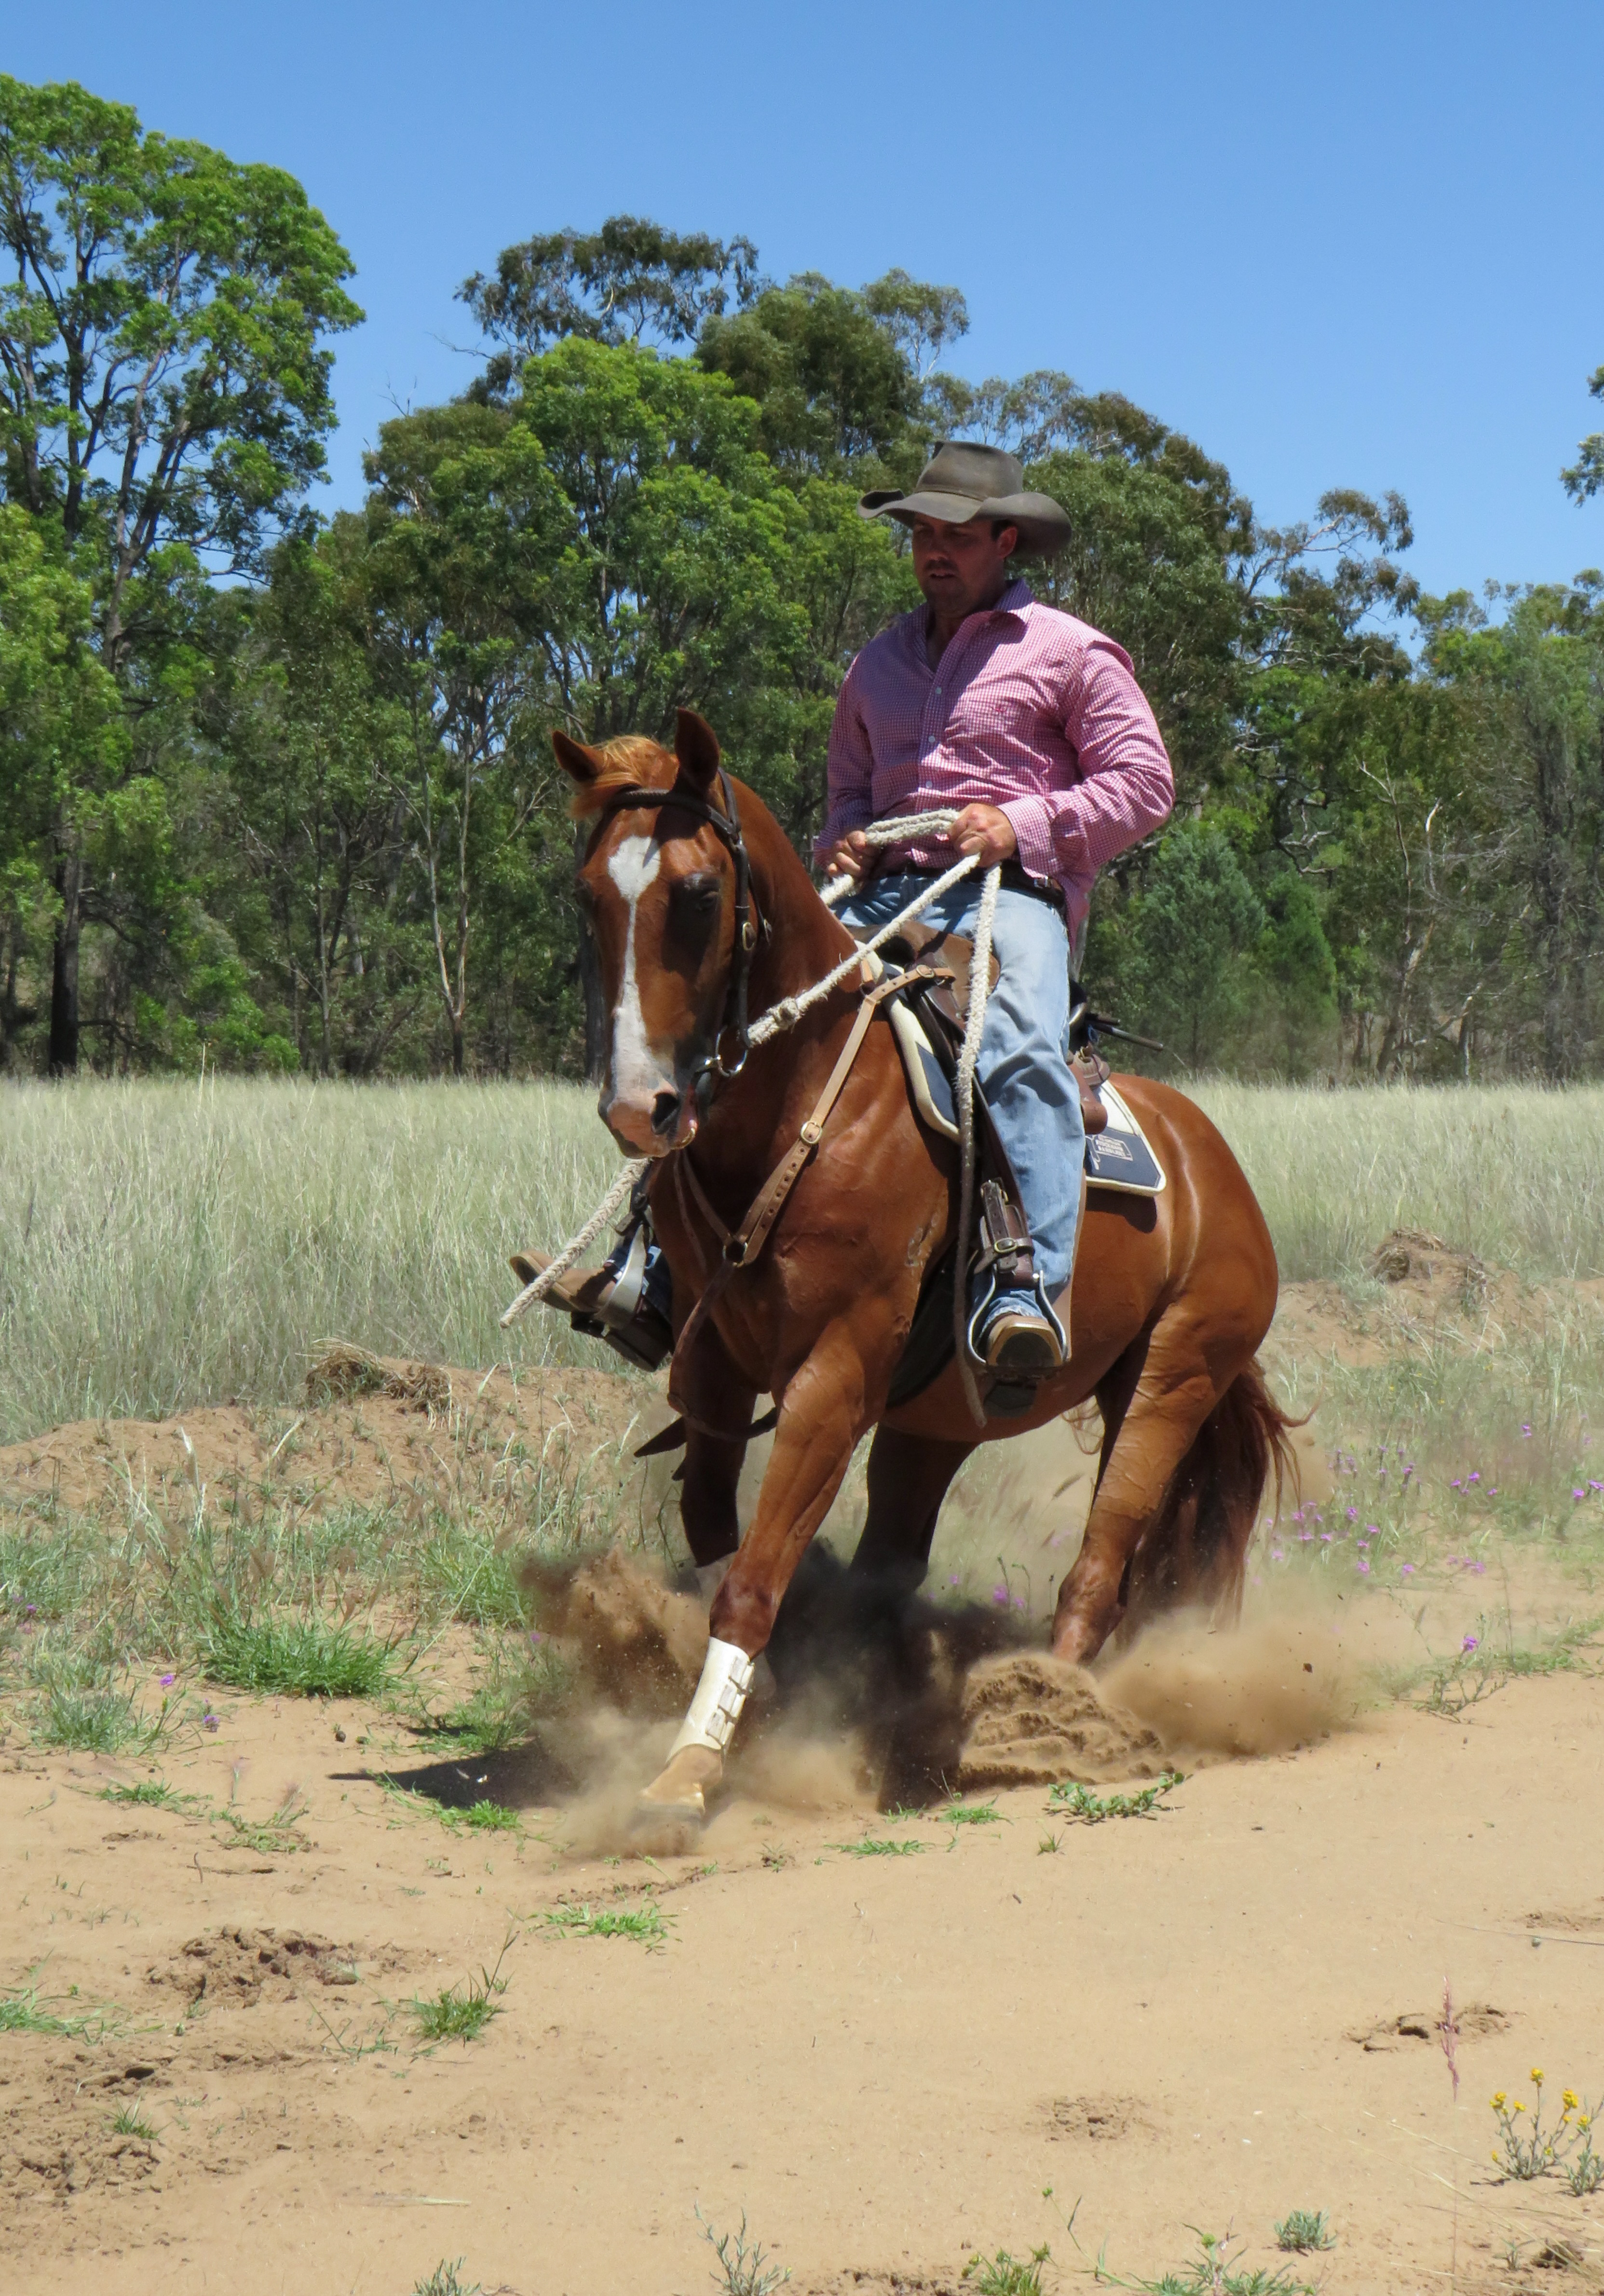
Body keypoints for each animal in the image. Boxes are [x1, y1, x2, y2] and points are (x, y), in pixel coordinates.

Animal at [554, 708, 1292, 1821]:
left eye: (697, 893)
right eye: (589, 892)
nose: (642, 1110)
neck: (813, 1097)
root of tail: (1215, 1164)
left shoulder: (834, 1374)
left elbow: (754, 1574)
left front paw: (687, 1771)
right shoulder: (715, 1368)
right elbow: (718, 1534)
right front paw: (761, 1711)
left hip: (1175, 1375)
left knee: (1101, 1561)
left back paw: (1044, 1713)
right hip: (936, 1418)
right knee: (894, 1560)